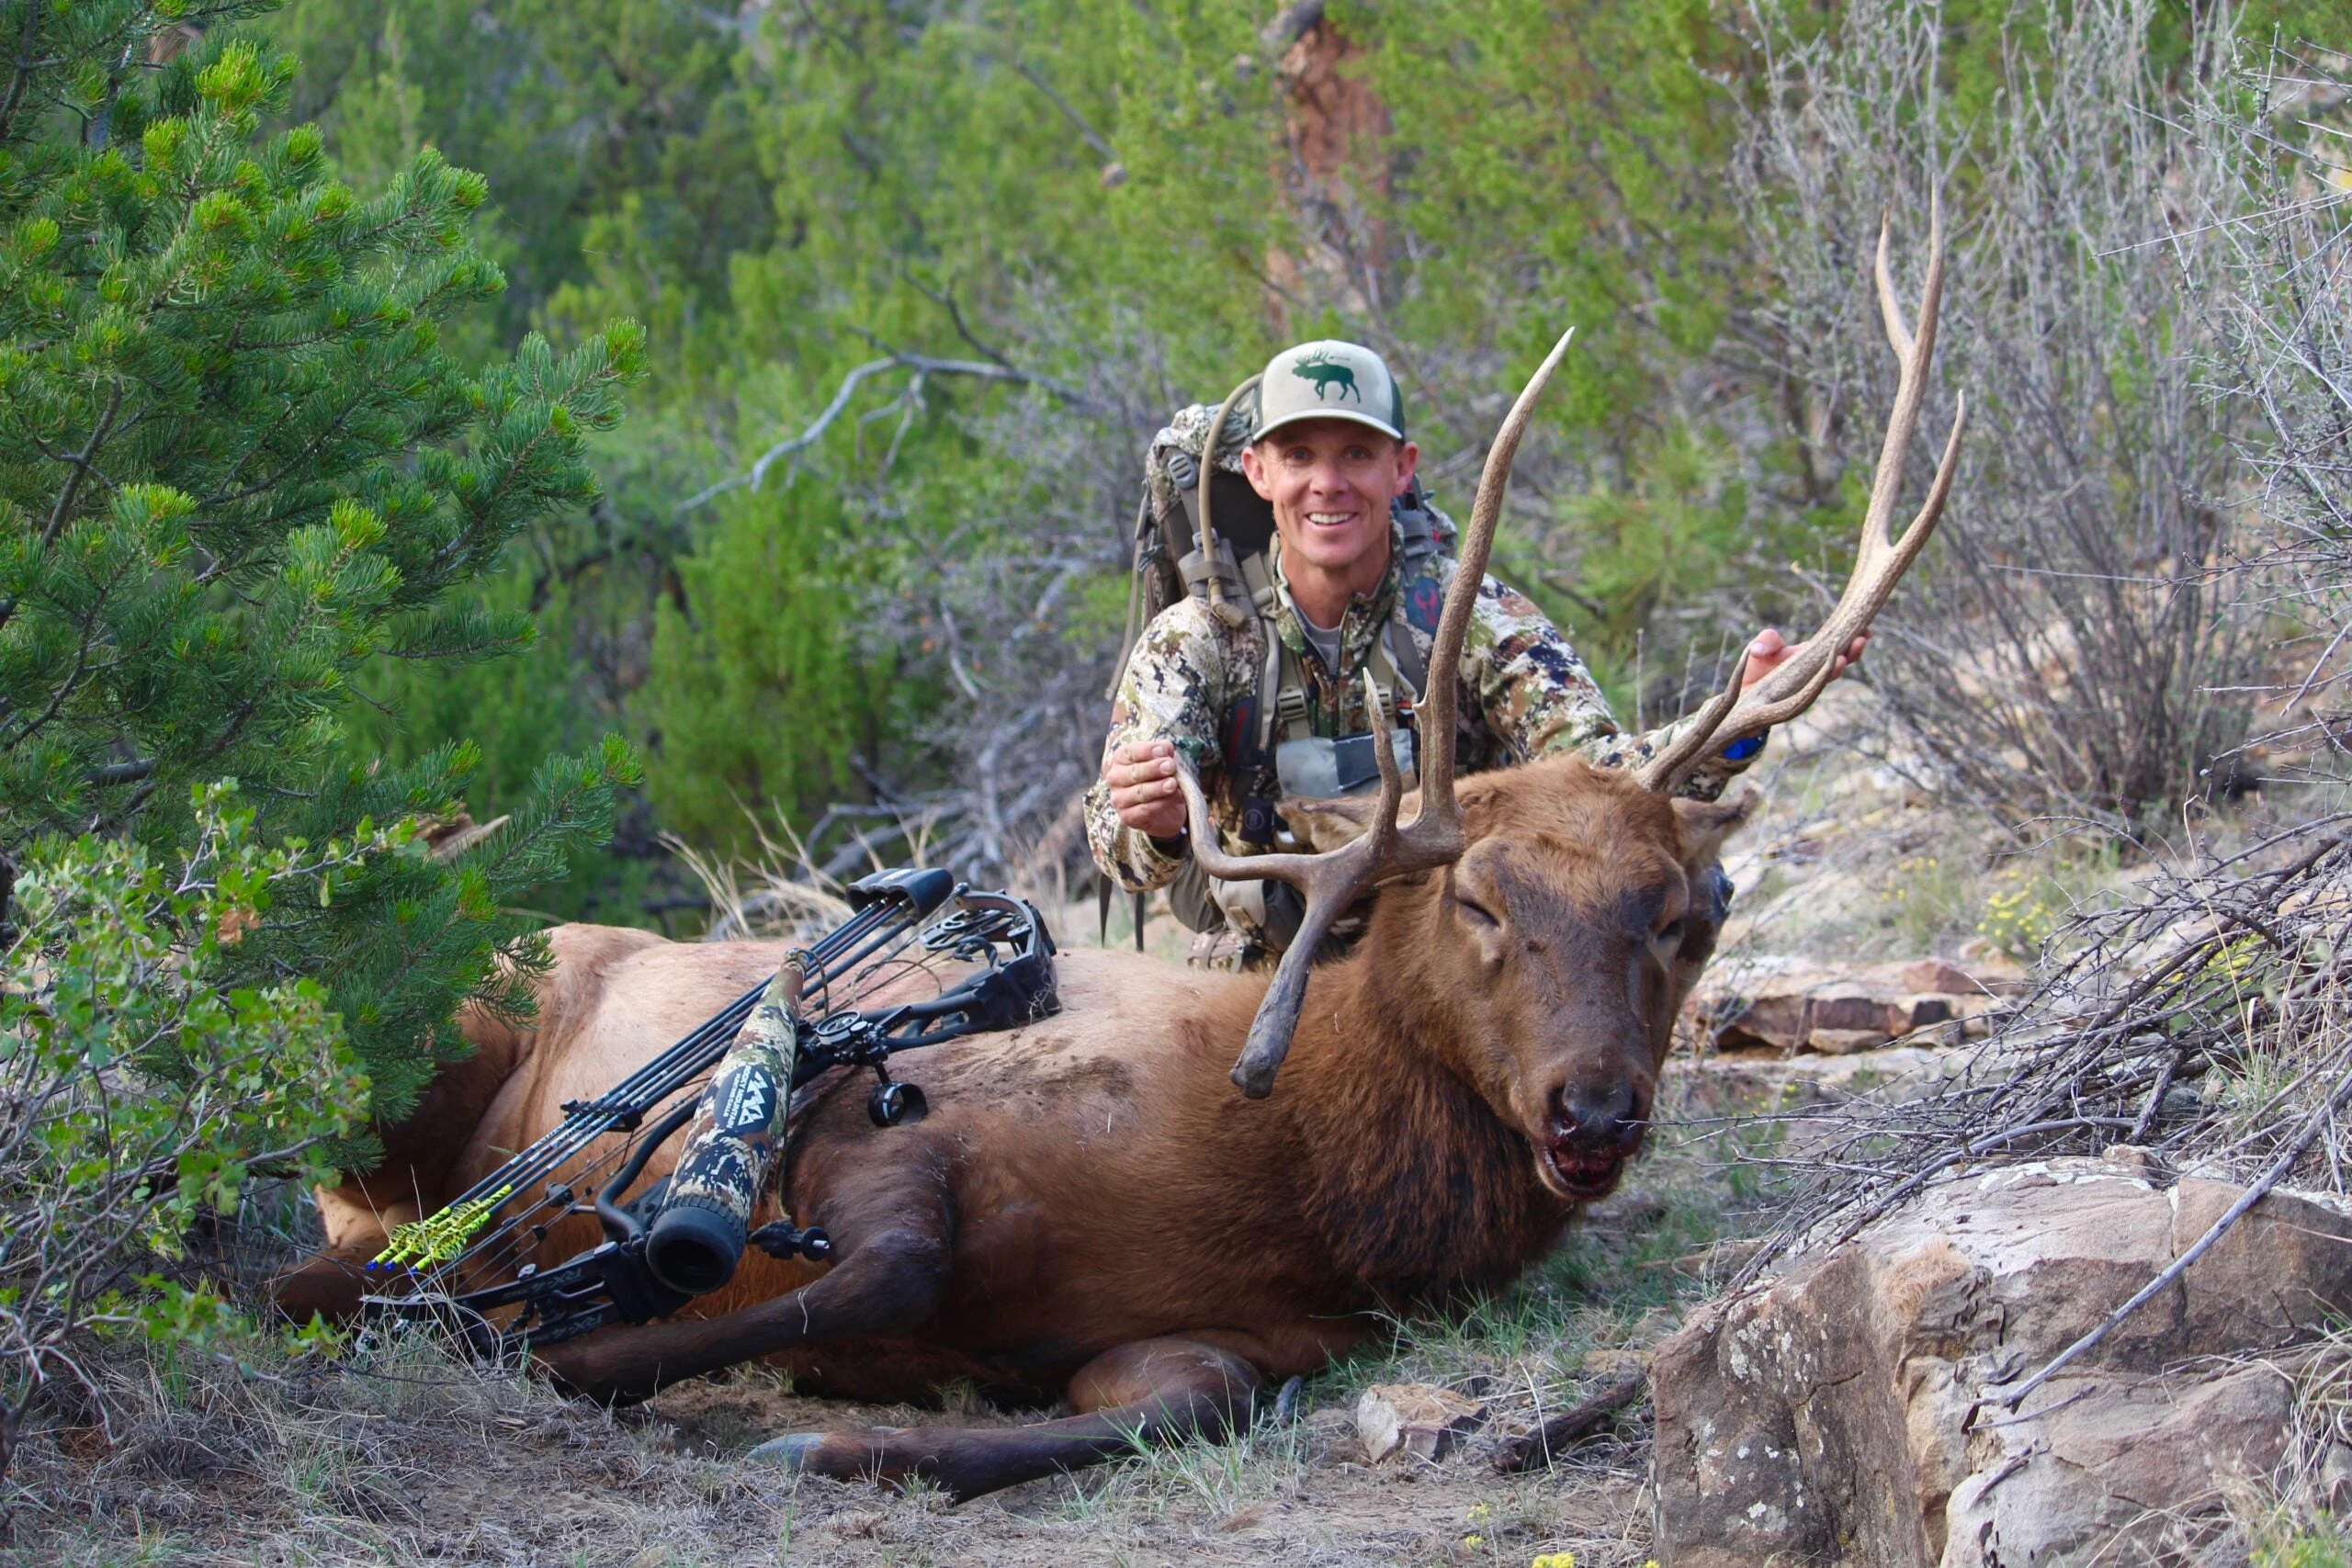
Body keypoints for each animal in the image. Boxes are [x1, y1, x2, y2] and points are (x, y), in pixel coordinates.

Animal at [284, 211, 1956, 1495]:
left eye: (1684, 914)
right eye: (1483, 898)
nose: (1592, 1106)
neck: (1283, 1175)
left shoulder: (1226, 1337)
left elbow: (1150, 1405)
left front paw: (821, 1444)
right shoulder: (881, 1127)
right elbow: (834, 1269)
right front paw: (521, 1339)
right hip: (432, 1033)